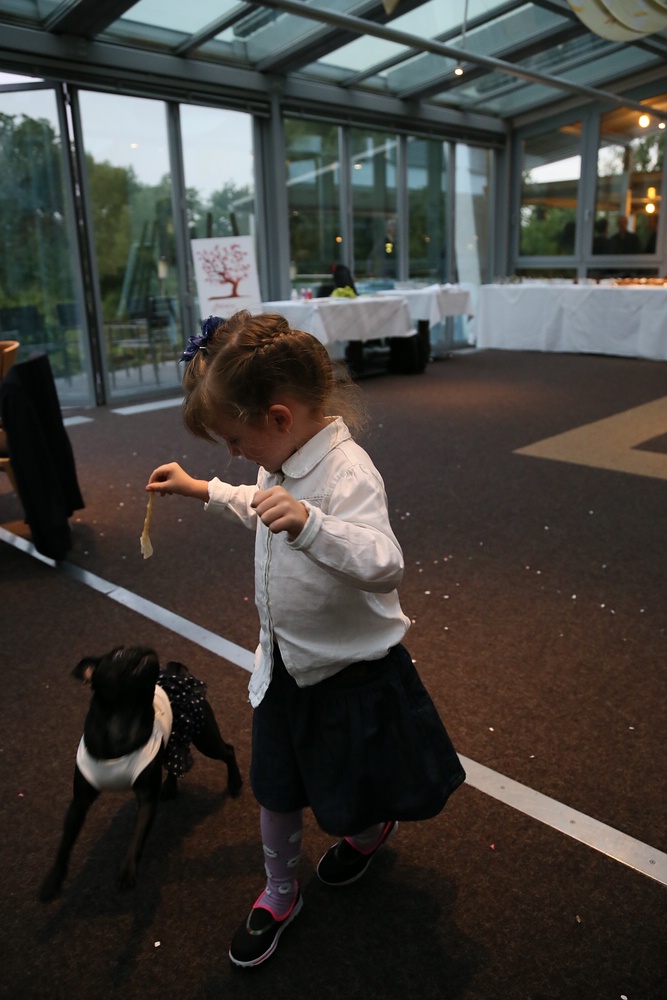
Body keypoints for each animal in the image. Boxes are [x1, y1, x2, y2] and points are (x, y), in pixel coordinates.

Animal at [39, 646, 242, 901]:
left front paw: (127, 871)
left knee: (227, 751)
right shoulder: (80, 803)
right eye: (117, 655)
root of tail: (177, 671)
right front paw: (53, 881)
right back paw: (170, 787)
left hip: (206, 739)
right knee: (177, 758)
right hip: (180, 739)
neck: (123, 719)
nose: (141, 648)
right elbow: (65, 843)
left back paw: (235, 782)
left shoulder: (146, 799)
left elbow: (137, 836)